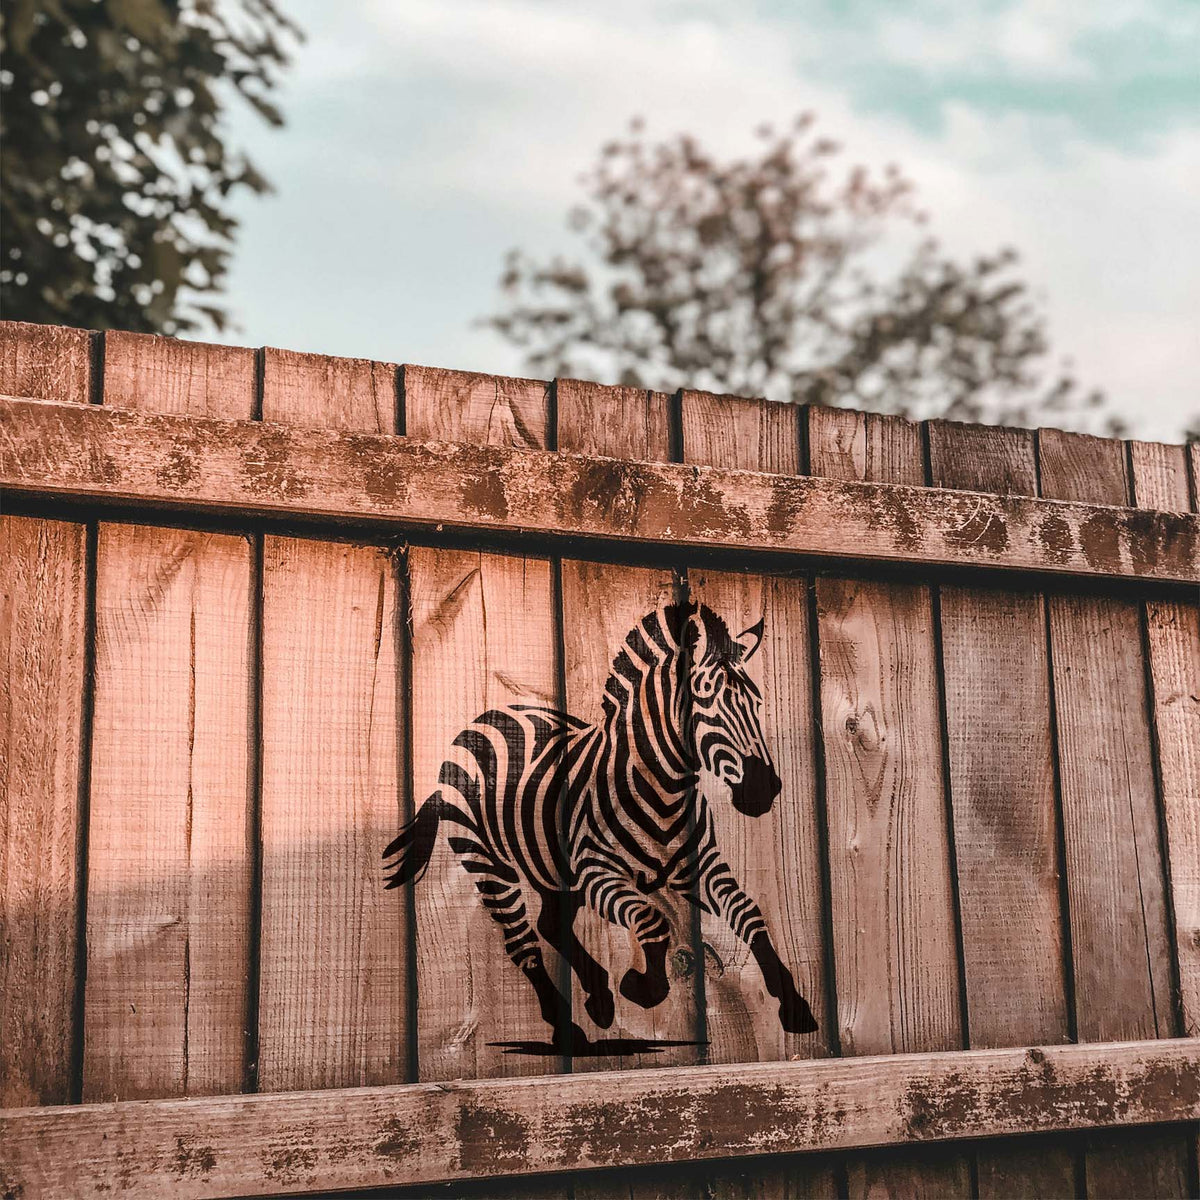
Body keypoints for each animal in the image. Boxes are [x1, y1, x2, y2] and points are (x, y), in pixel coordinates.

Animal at [383, 598, 818, 1048]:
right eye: (704, 700)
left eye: (757, 702)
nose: (762, 790)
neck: (663, 790)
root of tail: (480, 719)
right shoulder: (597, 872)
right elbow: (652, 921)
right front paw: (642, 986)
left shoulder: (700, 865)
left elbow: (748, 912)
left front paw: (795, 1006)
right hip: (490, 866)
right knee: (523, 943)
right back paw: (567, 1027)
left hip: (553, 864)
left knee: (551, 923)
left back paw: (598, 998)